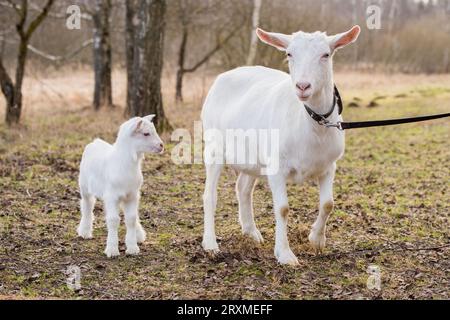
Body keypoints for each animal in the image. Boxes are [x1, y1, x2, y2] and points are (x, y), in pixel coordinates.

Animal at [78, 115, 164, 258]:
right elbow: (113, 220)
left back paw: (139, 235)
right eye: (146, 133)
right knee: (87, 205)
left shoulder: (133, 195)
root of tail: (95, 142)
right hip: (84, 185)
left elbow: (131, 218)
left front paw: (133, 248)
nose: (161, 145)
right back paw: (84, 231)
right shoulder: (111, 196)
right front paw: (112, 250)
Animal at [202, 25, 360, 264]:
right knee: (210, 195)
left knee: (243, 188)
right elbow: (283, 208)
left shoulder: (329, 166)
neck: (312, 124)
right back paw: (210, 244)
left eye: (326, 54)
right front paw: (285, 255)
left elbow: (328, 203)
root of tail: (222, 77)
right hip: (214, 147)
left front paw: (316, 239)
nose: (303, 86)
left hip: (253, 156)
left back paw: (251, 232)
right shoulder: (277, 166)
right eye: (289, 54)